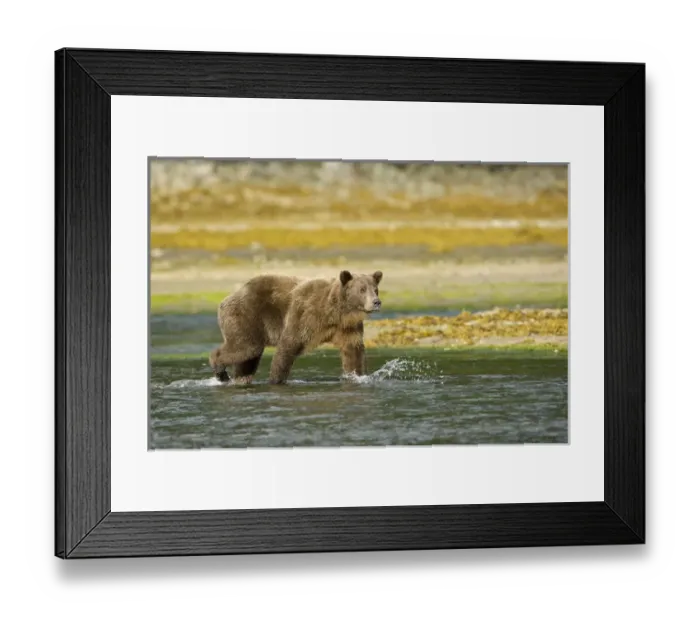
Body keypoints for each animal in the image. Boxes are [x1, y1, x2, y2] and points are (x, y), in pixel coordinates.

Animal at [209, 270, 383, 385]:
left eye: (375, 289)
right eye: (362, 290)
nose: (376, 302)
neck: (336, 312)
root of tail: (225, 299)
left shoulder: (347, 327)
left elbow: (353, 351)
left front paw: (357, 375)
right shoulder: (305, 314)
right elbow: (288, 345)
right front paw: (276, 379)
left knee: (249, 357)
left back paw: (240, 378)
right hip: (247, 315)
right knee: (246, 347)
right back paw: (220, 371)